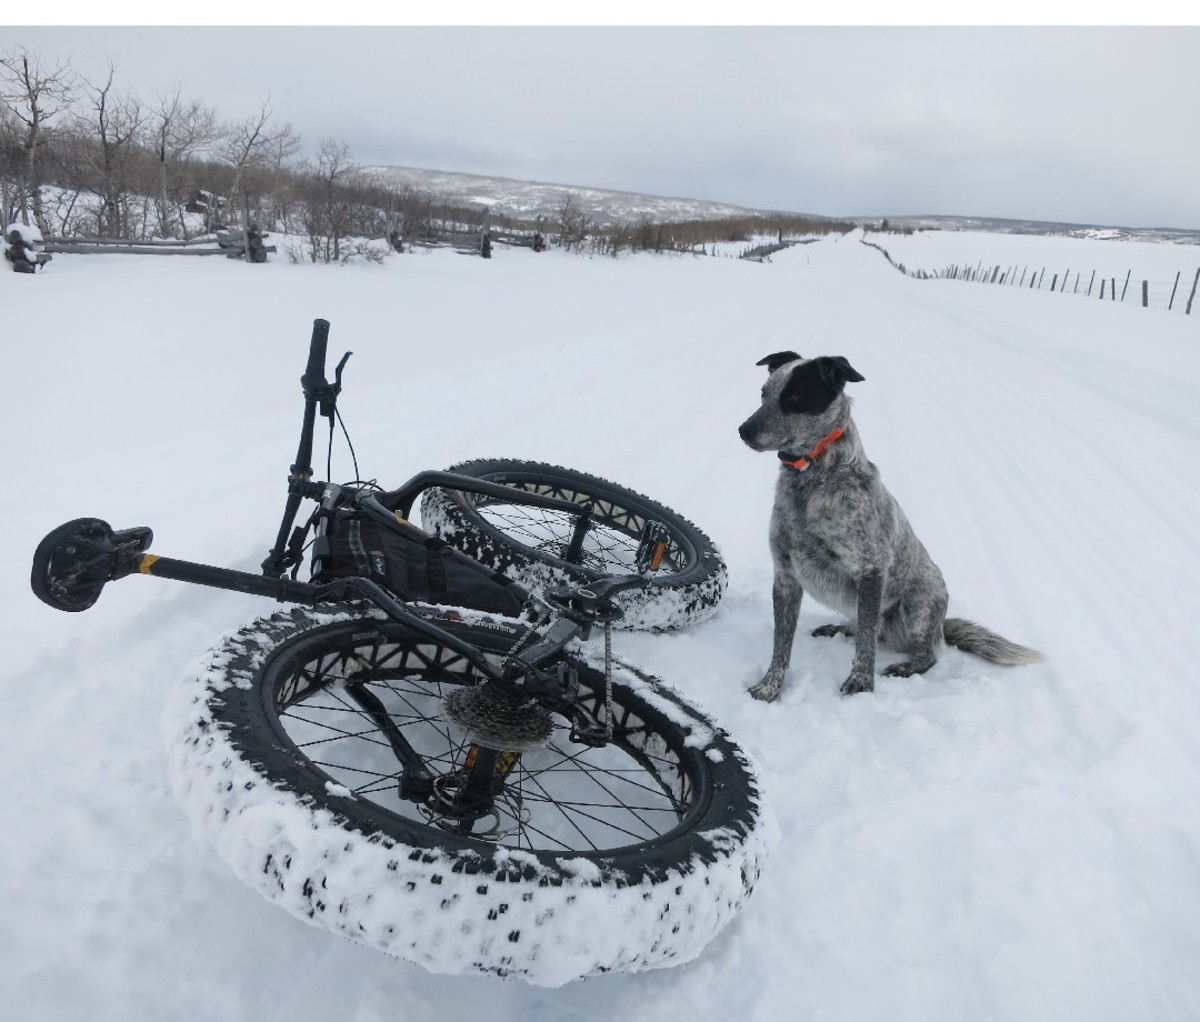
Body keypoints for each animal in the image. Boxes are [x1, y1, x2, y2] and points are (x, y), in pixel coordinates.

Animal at [734, 347, 1036, 700]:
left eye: (794, 398)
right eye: (764, 394)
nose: (743, 430)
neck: (812, 478)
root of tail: (941, 626)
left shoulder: (871, 570)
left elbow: (866, 643)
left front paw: (861, 682)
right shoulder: (785, 575)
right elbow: (781, 646)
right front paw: (769, 687)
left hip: (917, 606)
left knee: (920, 651)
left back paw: (905, 665)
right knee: (866, 628)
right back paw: (837, 628)